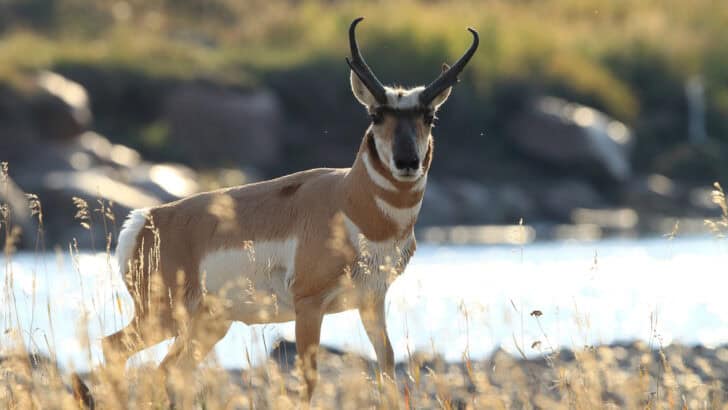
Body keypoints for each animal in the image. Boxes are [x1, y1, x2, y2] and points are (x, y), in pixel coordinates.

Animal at [101, 17, 479, 401]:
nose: (407, 162)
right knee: (114, 347)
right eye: (376, 114)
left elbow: (387, 367)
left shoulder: (371, 301)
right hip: (164, 316)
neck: (349, 201)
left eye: (429, 116)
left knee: (166, 371)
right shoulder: (309, 305)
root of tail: (146, 220)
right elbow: (308, 378)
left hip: (209, 324)